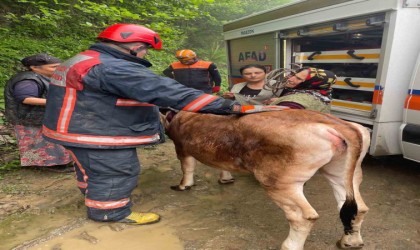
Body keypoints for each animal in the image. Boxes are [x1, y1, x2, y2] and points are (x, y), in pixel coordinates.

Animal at [162, 110, 370, 250]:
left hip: (278, 180)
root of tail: (341, 124)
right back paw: (350, 241)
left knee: (303, 216)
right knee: (356, 208)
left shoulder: (181, 147)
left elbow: (187, 167)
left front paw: (183, 185)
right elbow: (222, 165)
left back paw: (289, 246)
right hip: (343, 173)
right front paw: (225, 179)